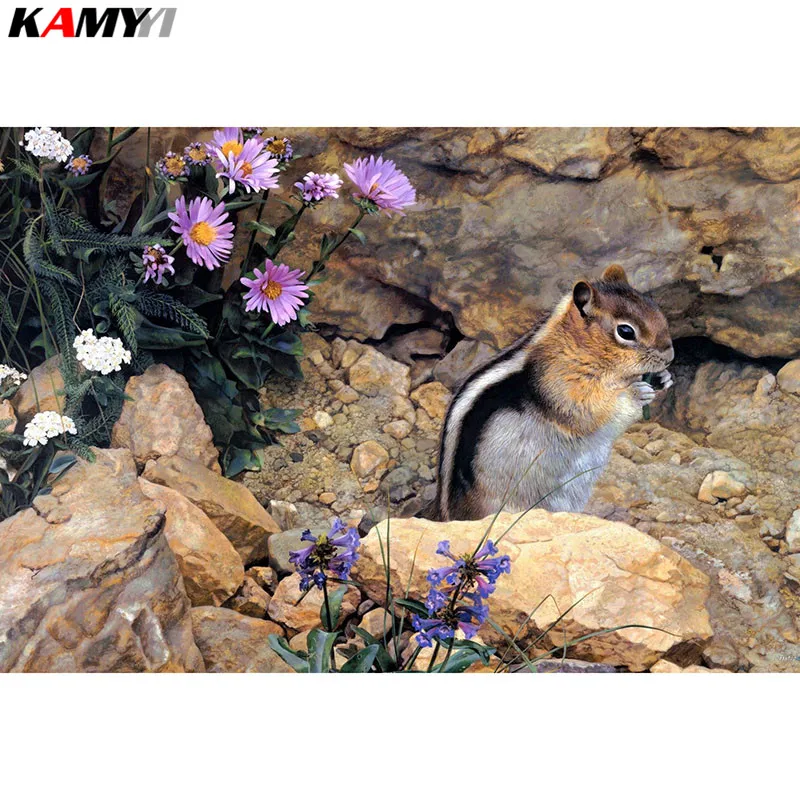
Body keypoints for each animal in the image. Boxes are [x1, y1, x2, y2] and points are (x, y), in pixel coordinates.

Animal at [431, 264, 674, 522]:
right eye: (626, 331)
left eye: (656, 308)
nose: (670, 356)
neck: (573, 347)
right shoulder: (560, 387)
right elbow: (591, 412)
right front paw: (636, 393)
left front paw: (663, 378)